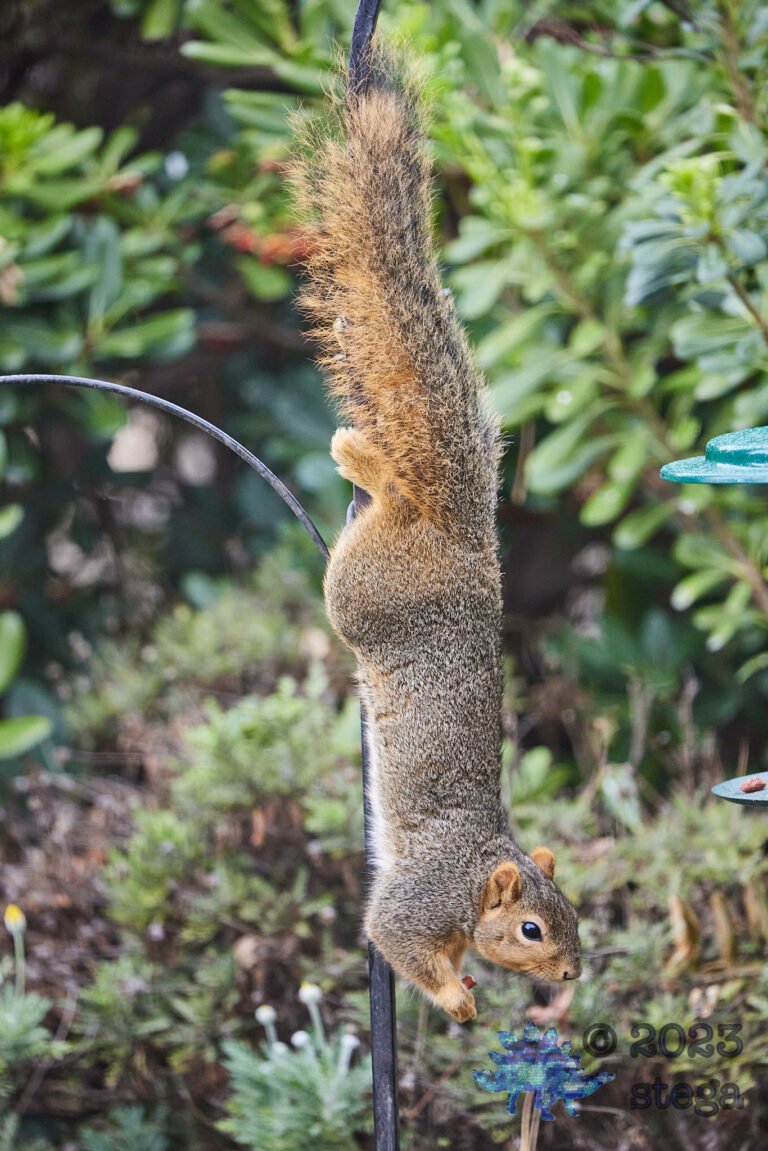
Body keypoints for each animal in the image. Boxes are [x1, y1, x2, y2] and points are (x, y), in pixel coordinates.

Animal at [292, 42, 581, 1022]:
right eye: (531, 928)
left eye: (574, 918)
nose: (572, 973)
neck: (480, 869)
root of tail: (465, 537)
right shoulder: (419, 900)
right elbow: (392, 936)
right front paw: (457, 998)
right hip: (363, 590)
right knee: (385, 514)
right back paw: (366, 463)